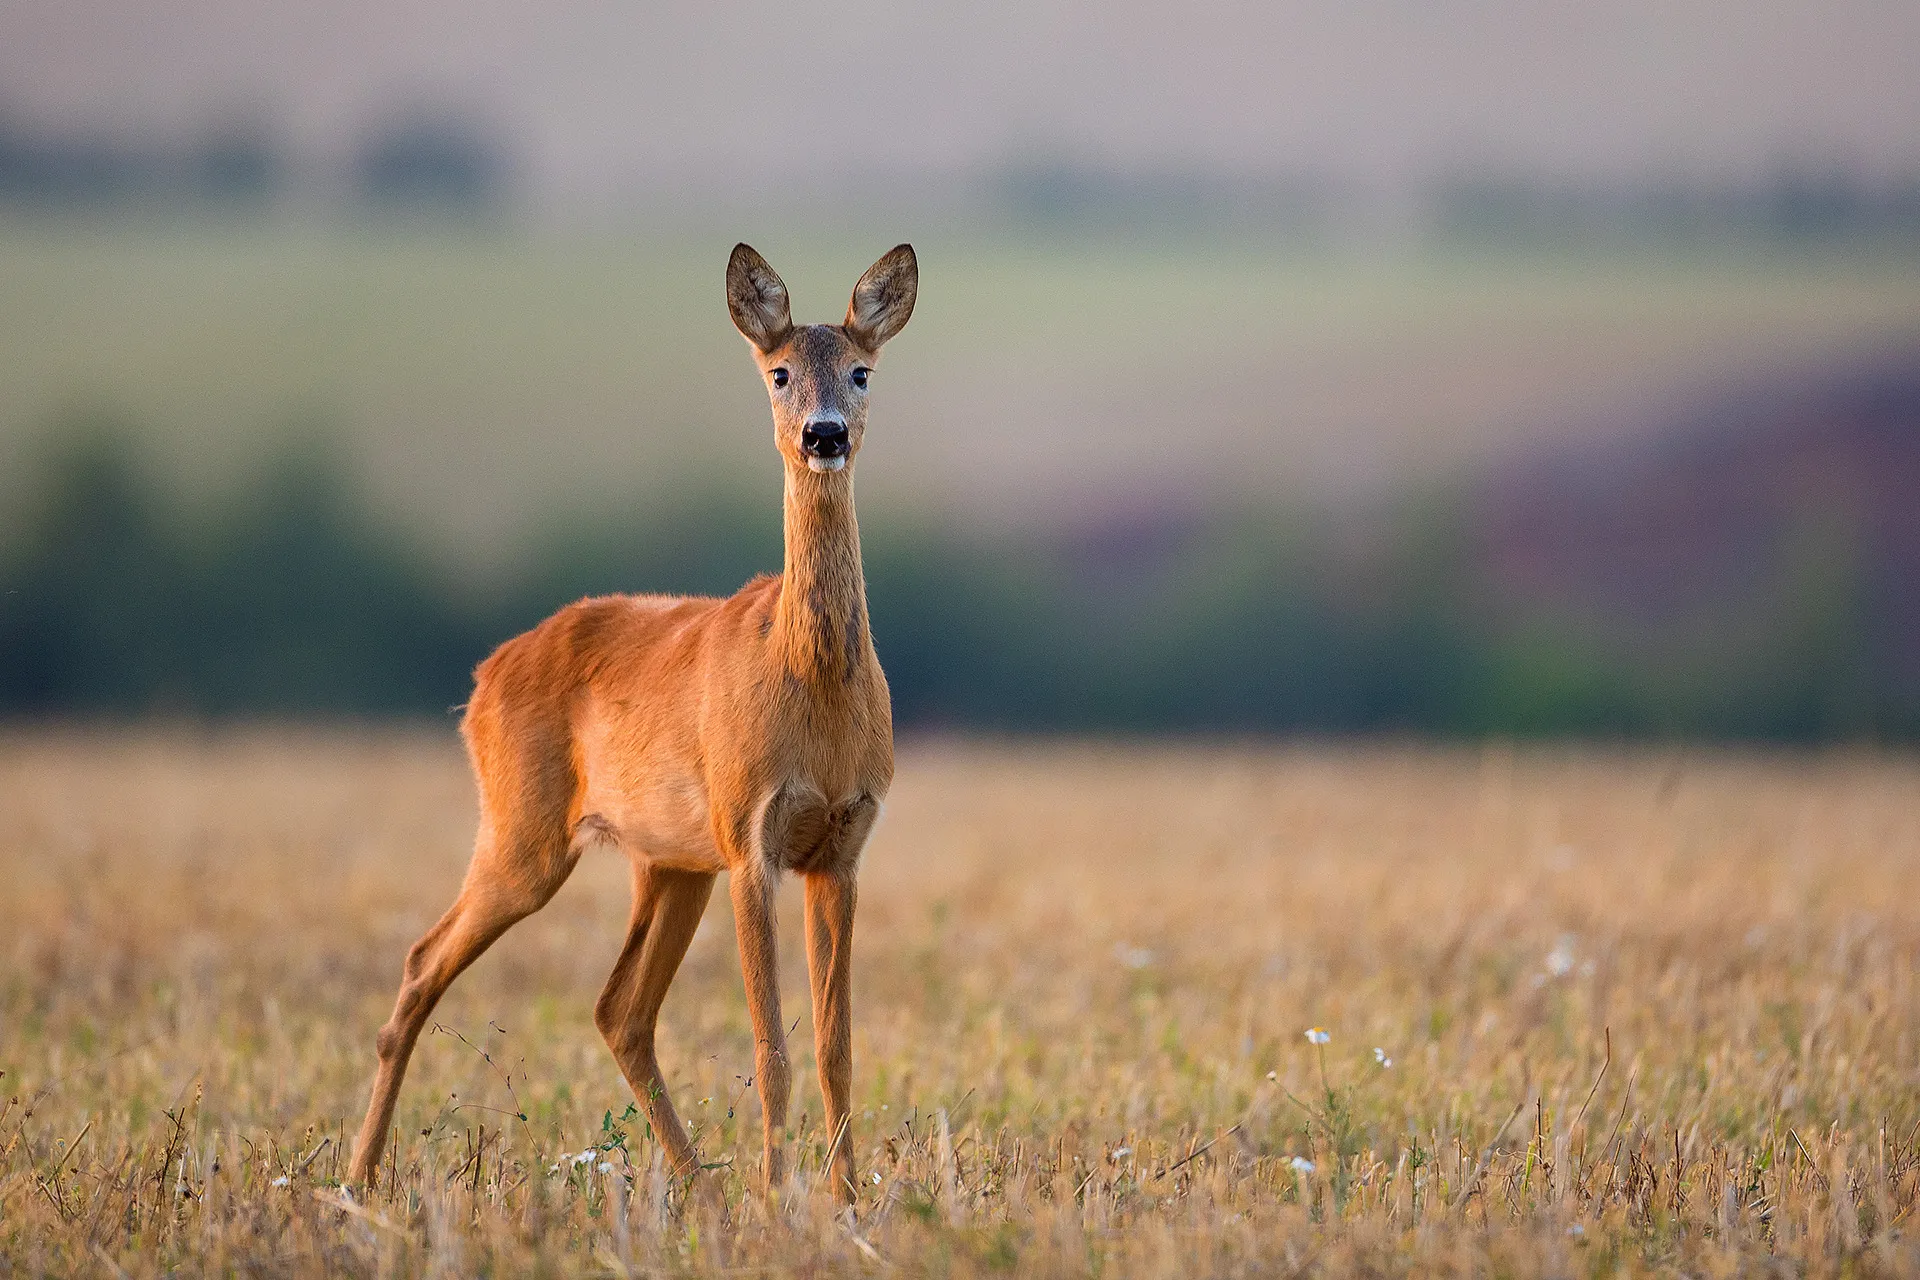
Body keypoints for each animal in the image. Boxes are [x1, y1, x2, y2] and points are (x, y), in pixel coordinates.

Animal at [349, 242, 917, 1212]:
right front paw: (778, 1198)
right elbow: (772, 1049)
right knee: (424, 961)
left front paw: (842, 1202)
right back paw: (355, 1178)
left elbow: (837, 1045)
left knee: (619, 1009)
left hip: (668, 862)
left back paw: (700, 1188)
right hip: (527, 831)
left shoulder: (842, 846)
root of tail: (483, 678)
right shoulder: (750, 836)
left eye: (861, 370)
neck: (813, 686)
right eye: (777, 373)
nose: (824, 435)